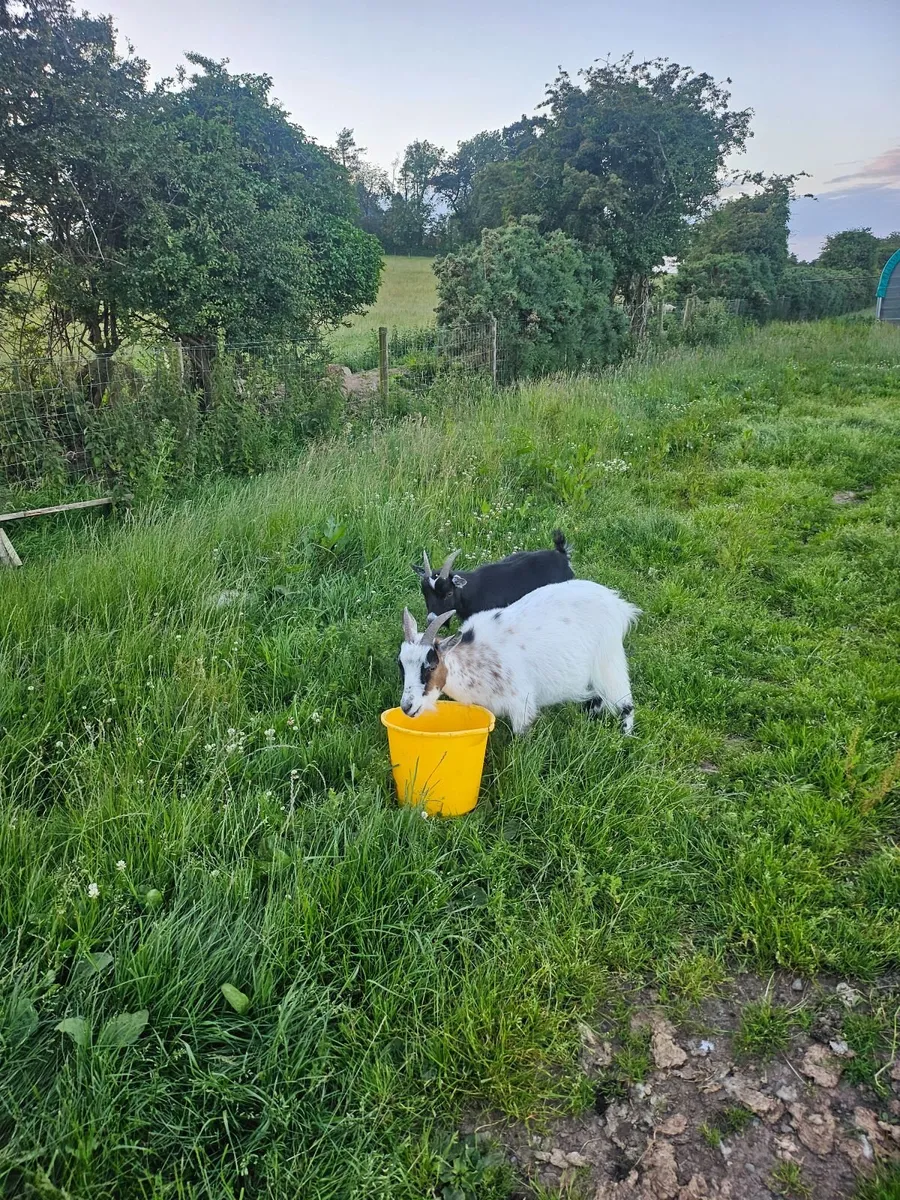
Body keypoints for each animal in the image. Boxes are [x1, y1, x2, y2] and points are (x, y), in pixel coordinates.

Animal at [398, 579, 640, 735]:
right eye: (401, 665)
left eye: (431, 665)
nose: (407, 707)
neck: (477, 657)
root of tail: (619, 605)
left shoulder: (521, 704)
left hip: (609, 658)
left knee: (625, 701)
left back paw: (624, 737)